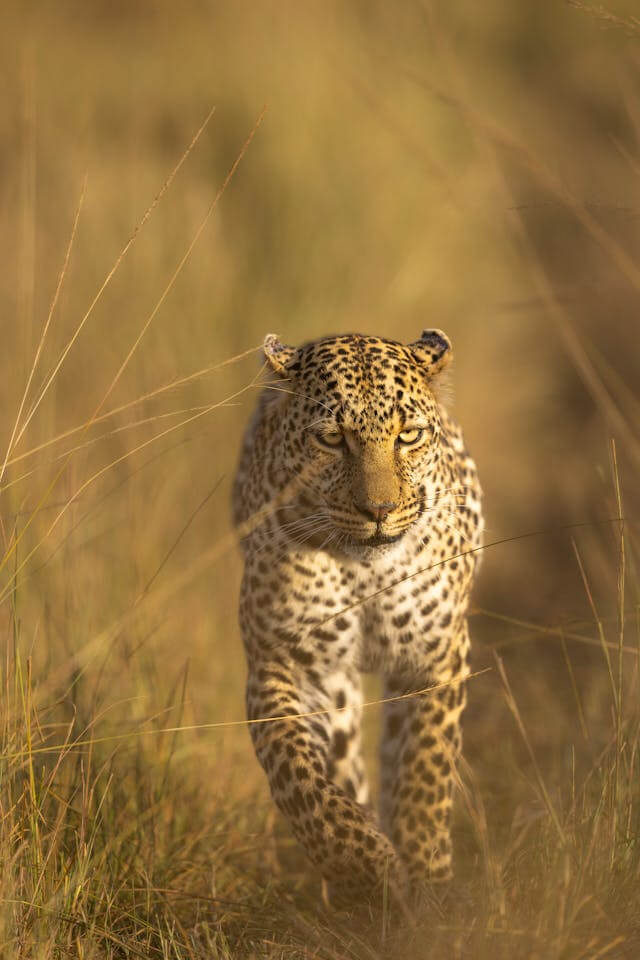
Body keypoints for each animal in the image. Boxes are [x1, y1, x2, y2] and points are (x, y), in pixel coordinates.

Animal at [232, 329, 483, 905]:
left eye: (408, 436)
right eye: (331, 439)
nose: (379, 511)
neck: (368, 571)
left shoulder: (435, 657)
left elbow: (425, 768)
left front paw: (427, 874)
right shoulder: (282, 665)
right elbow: (299, 776)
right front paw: (365, 868)